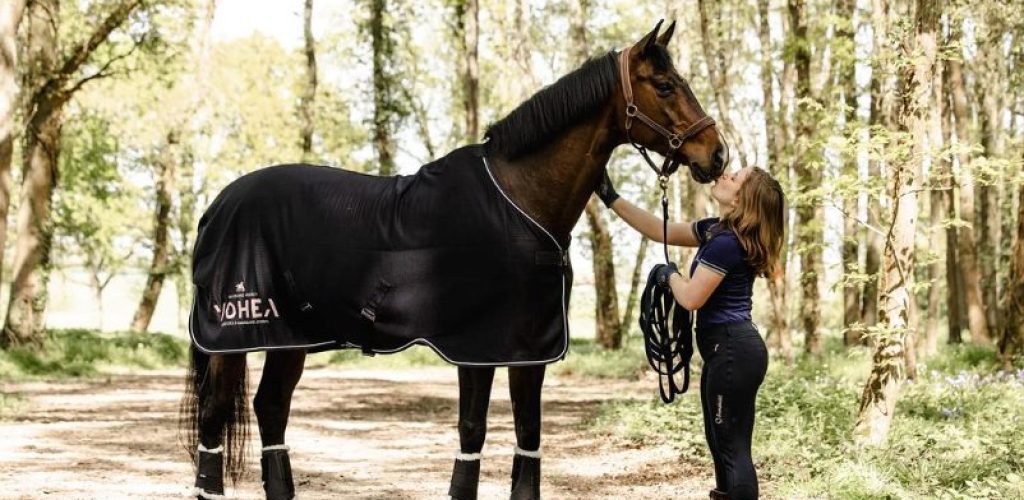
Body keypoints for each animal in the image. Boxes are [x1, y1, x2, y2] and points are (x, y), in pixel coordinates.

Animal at [182, 20, 726, 500]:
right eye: (665, 85)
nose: (716, 154)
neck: (519, 201)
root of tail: (218, 206)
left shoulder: (529, 346)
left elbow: (528, 433)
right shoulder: (477, 346)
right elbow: (472, 430)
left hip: (289, 338)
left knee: (270, 407)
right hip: (235, 336)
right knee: (214, 415)